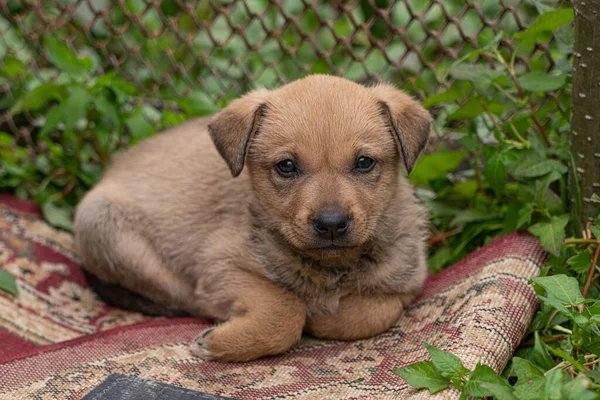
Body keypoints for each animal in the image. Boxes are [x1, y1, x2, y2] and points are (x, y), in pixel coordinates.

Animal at [74, 75, 432, 362]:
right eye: (286, 166)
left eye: (364, 162)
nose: (331, 224)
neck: (328, 269)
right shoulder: (222, 266)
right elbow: (285, 310)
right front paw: (222, 341)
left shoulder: (407, 282)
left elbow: (375, 312)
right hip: (106, 227)